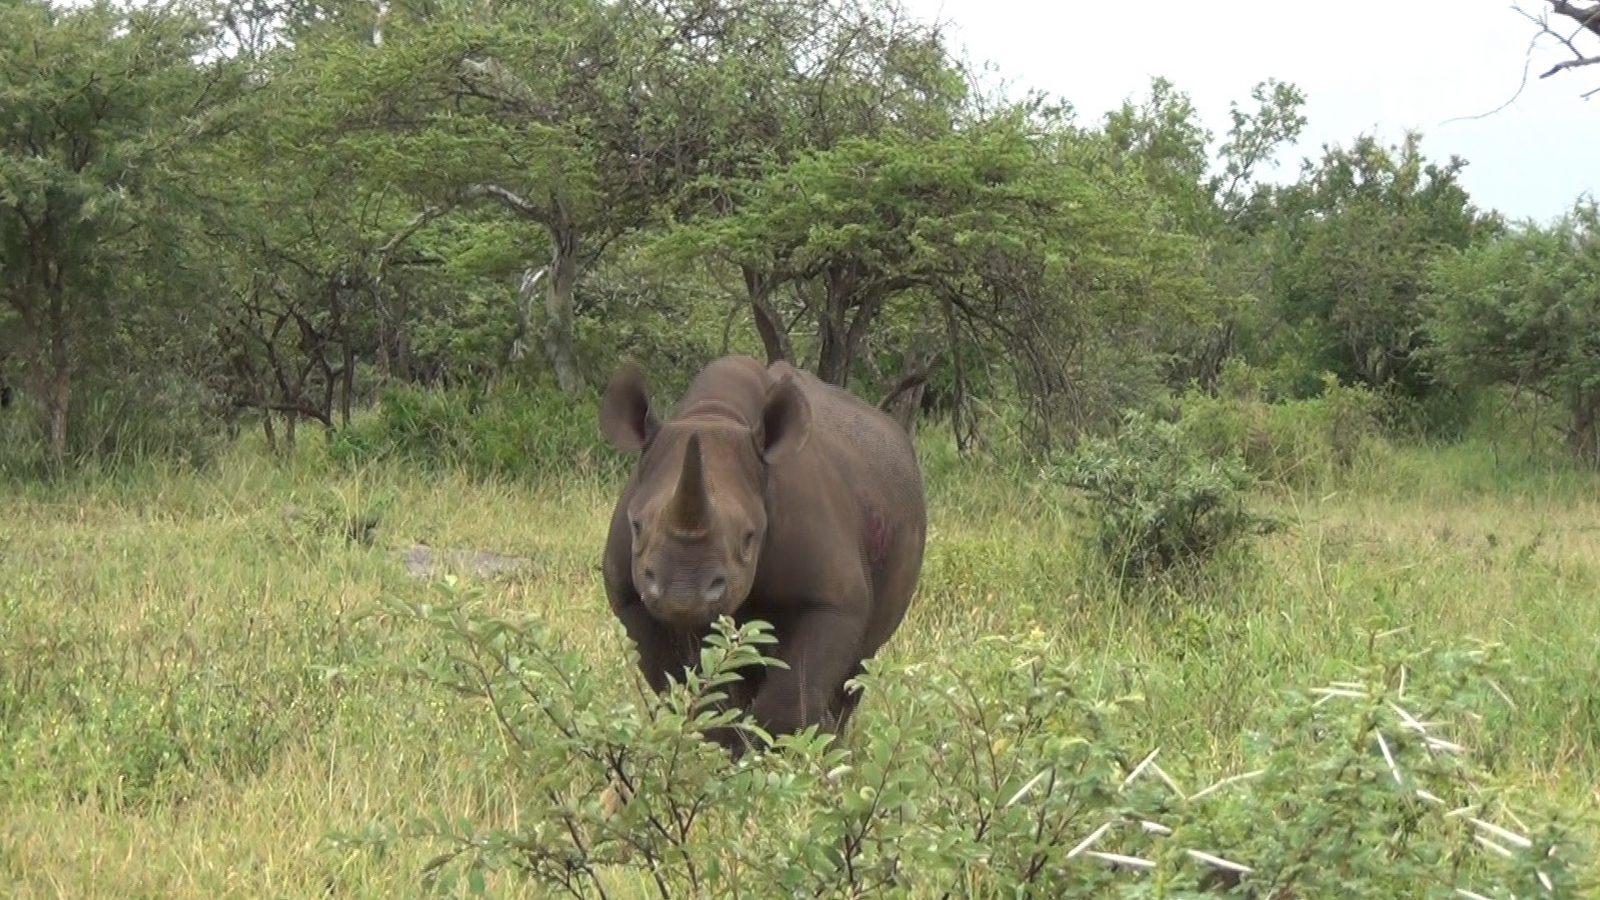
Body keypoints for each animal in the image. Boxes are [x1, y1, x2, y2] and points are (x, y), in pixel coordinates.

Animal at [599, 355, 927, 750]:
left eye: (749, 537)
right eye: (635, 525)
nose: (683, 594)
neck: (715, 415)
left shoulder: (831, 599)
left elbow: (789, 702)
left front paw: (797, 748)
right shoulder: (632, 599)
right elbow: (692, 693)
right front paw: (723, 748)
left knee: (858, 666)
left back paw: (835, 741)